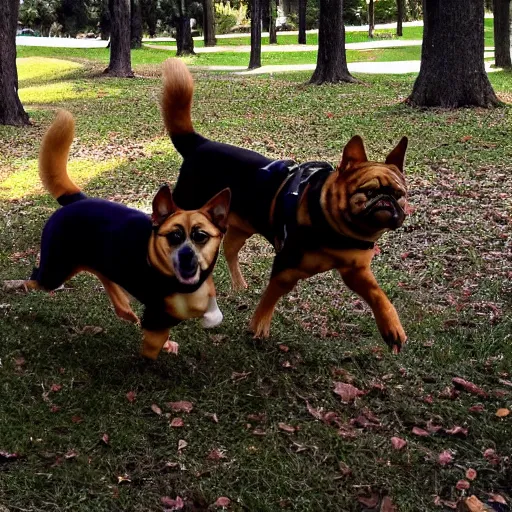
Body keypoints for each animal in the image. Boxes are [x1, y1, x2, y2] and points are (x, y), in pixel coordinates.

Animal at [3, 111, 232, 360]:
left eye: (201, 236)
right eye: (173, 236)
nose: (186, 256)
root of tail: (76, 200)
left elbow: (212, 313)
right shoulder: (155, 319)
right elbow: (153, 342)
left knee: (102, 275)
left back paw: (124, 309)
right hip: (54, 271)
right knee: (36, 278)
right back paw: (15, 285)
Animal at [159, 57, 408, 352]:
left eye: (400, 194)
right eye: (368, 191)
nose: (387, 201)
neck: (333, 227)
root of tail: (199, 144)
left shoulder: (356, 271)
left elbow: (378, 296)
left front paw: (392, 327)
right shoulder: (286, 268)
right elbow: (270, 298)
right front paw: (259, 326)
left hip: (242, 225)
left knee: (230, 248)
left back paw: (239, 284)